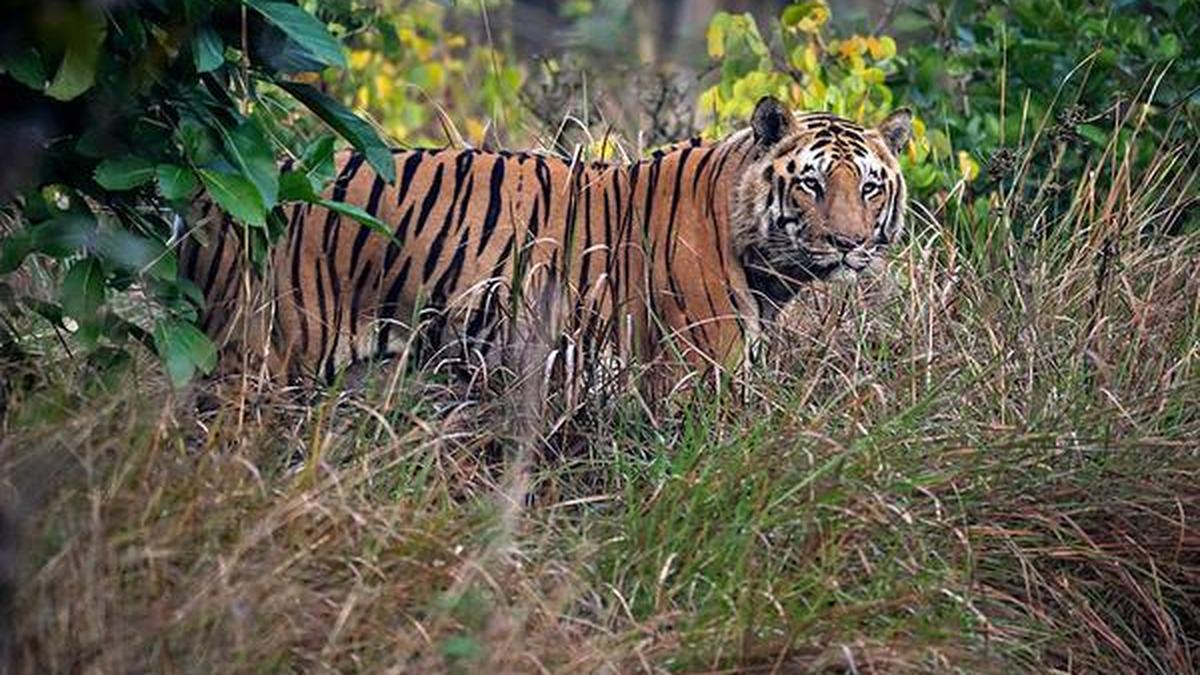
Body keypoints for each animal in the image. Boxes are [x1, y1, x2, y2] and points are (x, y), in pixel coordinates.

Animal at [178, 97, 911, 392]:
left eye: (869, 187)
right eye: (812, 184)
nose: (848, 243)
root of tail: (204, 193)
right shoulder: (699, 372)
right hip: (260, 357)